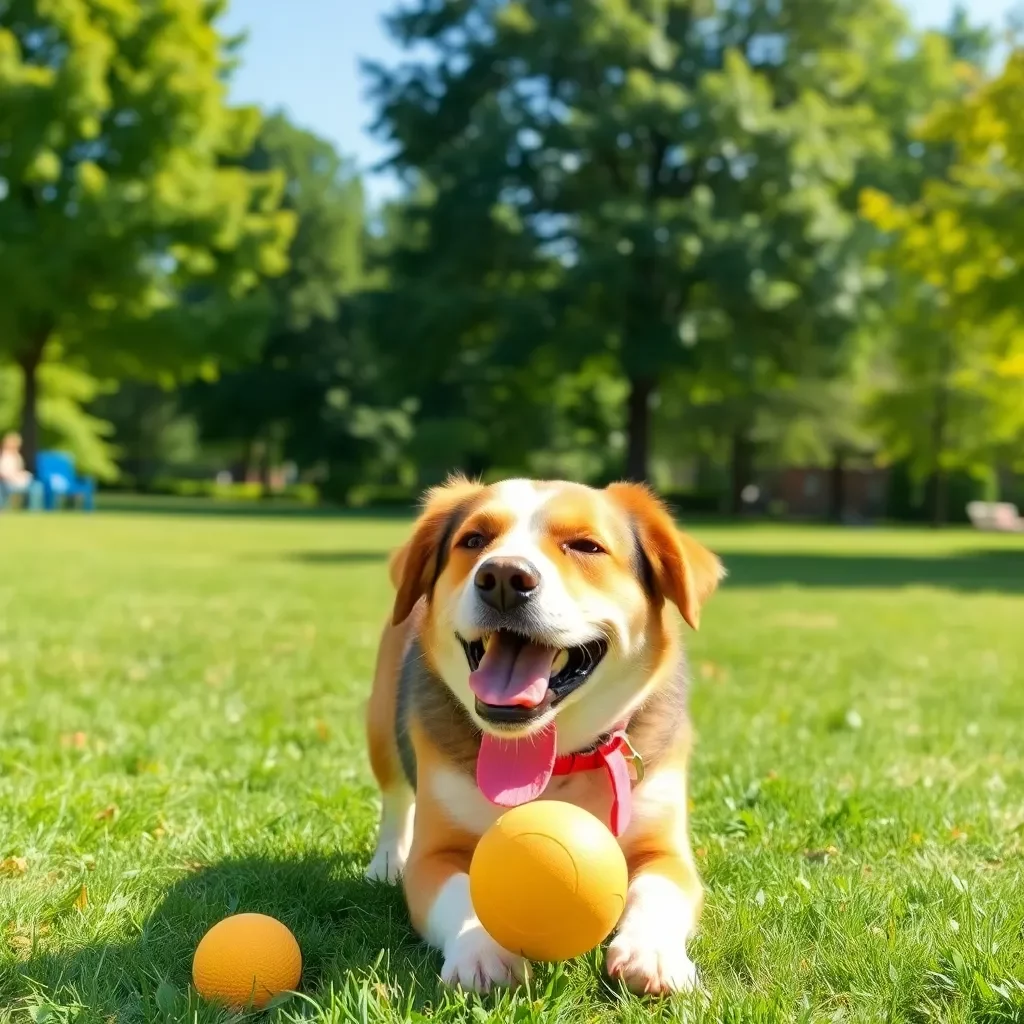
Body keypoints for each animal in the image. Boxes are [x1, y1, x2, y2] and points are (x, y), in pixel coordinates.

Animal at [364, 477, 724, 991]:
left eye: (586, 546)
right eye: (474, 540)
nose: (502, 577)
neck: (550, 755)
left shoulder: (666, 849)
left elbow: (659, 893)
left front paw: (652, 953)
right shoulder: (434, 855)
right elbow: (458, 891)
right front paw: (481, 951)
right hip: (380, 722)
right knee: (395, 797)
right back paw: (386, 861)